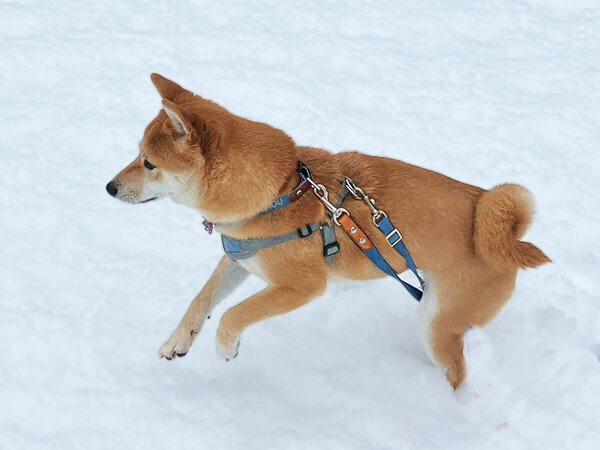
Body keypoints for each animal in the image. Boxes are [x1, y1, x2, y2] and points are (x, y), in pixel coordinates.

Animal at [106, 74, 548, 390]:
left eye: (148, 163)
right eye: (138, 155)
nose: (109, 187)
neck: (280, 191)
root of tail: (509, 239)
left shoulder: (302, 287)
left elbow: (234, 313)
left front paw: (225, 346)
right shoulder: (239, 257)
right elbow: (202, 300)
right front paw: (178, 340)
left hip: (436, 323)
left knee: (456, 368)